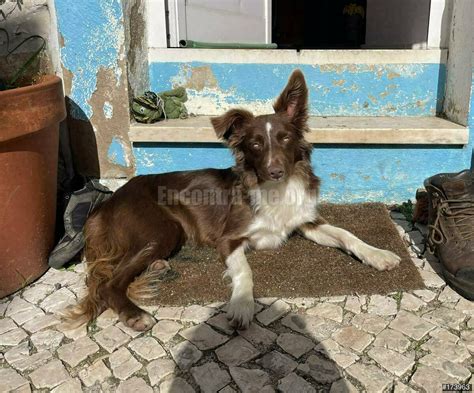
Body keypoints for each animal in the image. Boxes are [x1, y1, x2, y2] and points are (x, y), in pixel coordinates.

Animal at [70, 70, 402, 330]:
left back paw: (157, 268)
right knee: (109, 283)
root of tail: (109, 201)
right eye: (255, 144)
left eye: (284, 138)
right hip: (162, 228)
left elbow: (347, 234)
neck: (276, 189)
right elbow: (245, 270)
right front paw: (242, 305)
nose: (276, 170)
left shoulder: (307, 222)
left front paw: (377, 254)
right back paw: (135, 314)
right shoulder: (228, 238)